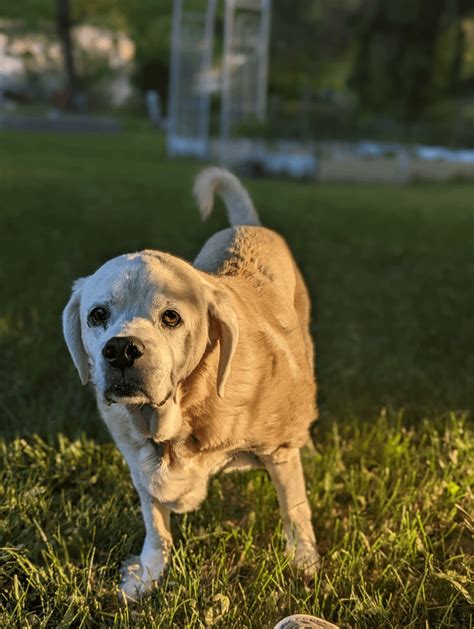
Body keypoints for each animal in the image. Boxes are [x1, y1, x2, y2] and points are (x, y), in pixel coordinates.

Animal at [62, 167, 318, 600]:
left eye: (171, 317)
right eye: (97, 315)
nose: (121, 350)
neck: (181, 414)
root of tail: (247, 224)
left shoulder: (279, 451)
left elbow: (295, 508)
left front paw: (304, 561)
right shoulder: (140, 466)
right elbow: (155, 524)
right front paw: (148, 573)